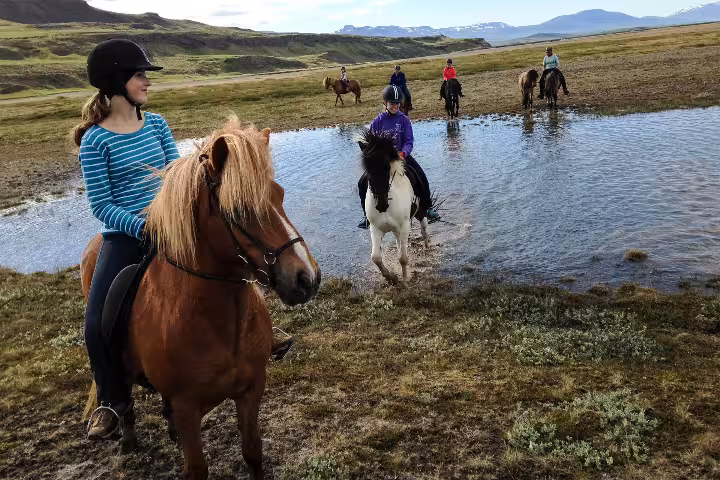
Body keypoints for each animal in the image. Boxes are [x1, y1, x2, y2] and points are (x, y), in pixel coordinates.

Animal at [80, 117, 321, 480]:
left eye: (279, 194)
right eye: (239, 209)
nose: (307, 278)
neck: (218, 323)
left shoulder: (251, 390)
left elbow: (253, 452)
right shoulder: (186, 407)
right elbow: (196, 468)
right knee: (124, 399)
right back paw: (126, 438)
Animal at [358, 130, 429, 286]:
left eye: (386, 167)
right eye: (367, 169)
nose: (381, 205)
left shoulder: (404, 226)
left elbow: (403, 258)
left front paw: (405, 280)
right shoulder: (376, 228)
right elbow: (376, 258)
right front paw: (391, 277)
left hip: (420, 212)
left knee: (424, 229)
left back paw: (428, 246)